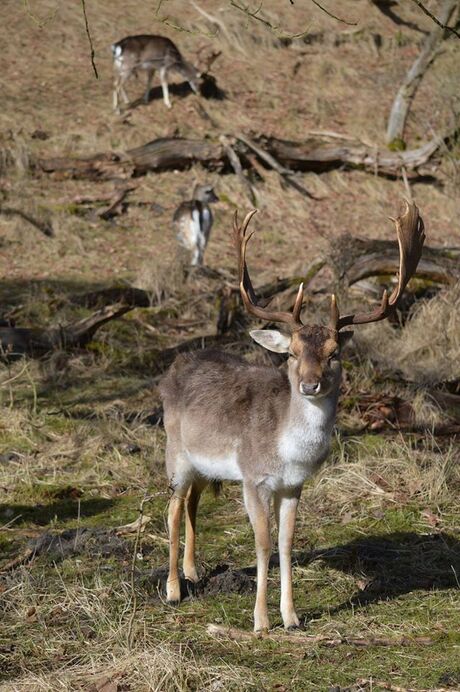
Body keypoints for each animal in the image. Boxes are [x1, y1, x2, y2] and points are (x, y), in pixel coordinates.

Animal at [160, 201, 426, 632]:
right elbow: (263, 543)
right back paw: (172, 590)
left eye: (335, 353)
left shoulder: (294, 485)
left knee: (192, 503)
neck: (288, 452)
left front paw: (292, 617)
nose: (310, 384)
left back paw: (193, 572)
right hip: (175, 452)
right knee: (170, 507)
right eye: (291, 353)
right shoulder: (254, 477)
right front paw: (260, 621)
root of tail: (173, 367)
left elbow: (286, 543)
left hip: (203, 464)